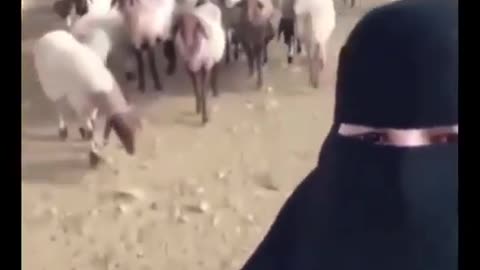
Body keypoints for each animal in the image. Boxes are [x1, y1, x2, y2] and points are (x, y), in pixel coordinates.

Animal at [32, 30, 139, 167]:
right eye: (123, 132)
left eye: (136, 130)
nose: (132, 151)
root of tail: (48, 35)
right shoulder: (82, 104)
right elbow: (91, 131)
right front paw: (94, 155)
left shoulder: (89, 106)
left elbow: (93, 124)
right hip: (52, 89)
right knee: (59, 108)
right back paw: (63, 130)